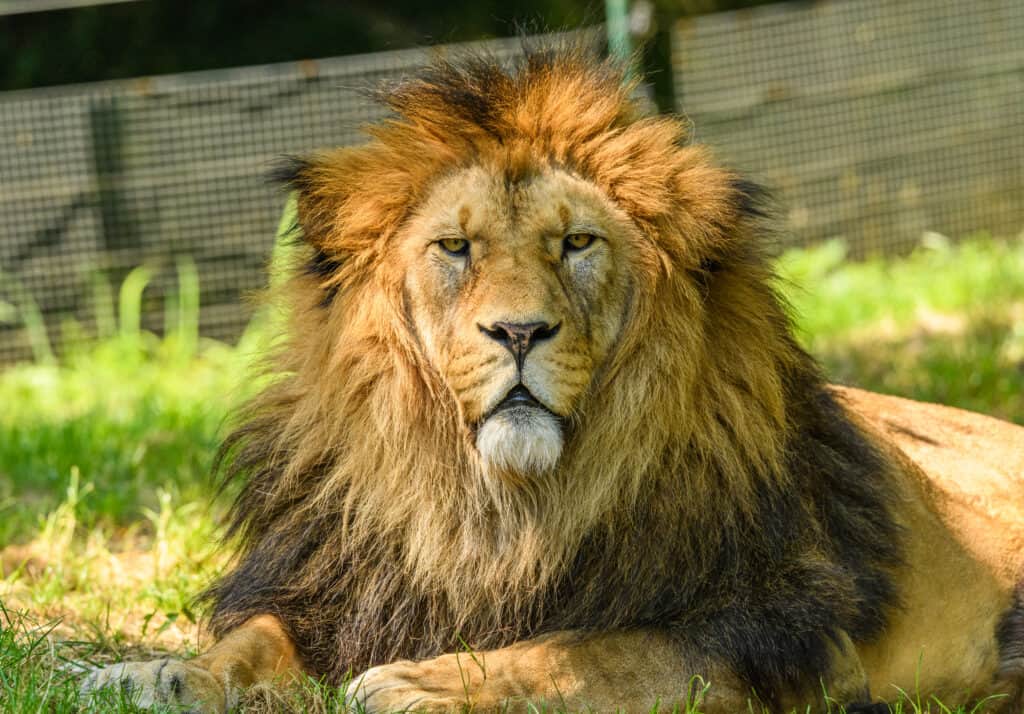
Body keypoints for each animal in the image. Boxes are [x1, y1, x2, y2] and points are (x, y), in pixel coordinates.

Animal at [81, 47, 1024, 708]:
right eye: (455, 246)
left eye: (576, 243)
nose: (519, 331)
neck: (493, 511)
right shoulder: (334, 588)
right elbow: (253, 640)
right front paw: (156, 674)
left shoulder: (771, 624)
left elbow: (588, 650)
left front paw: (429, 681)